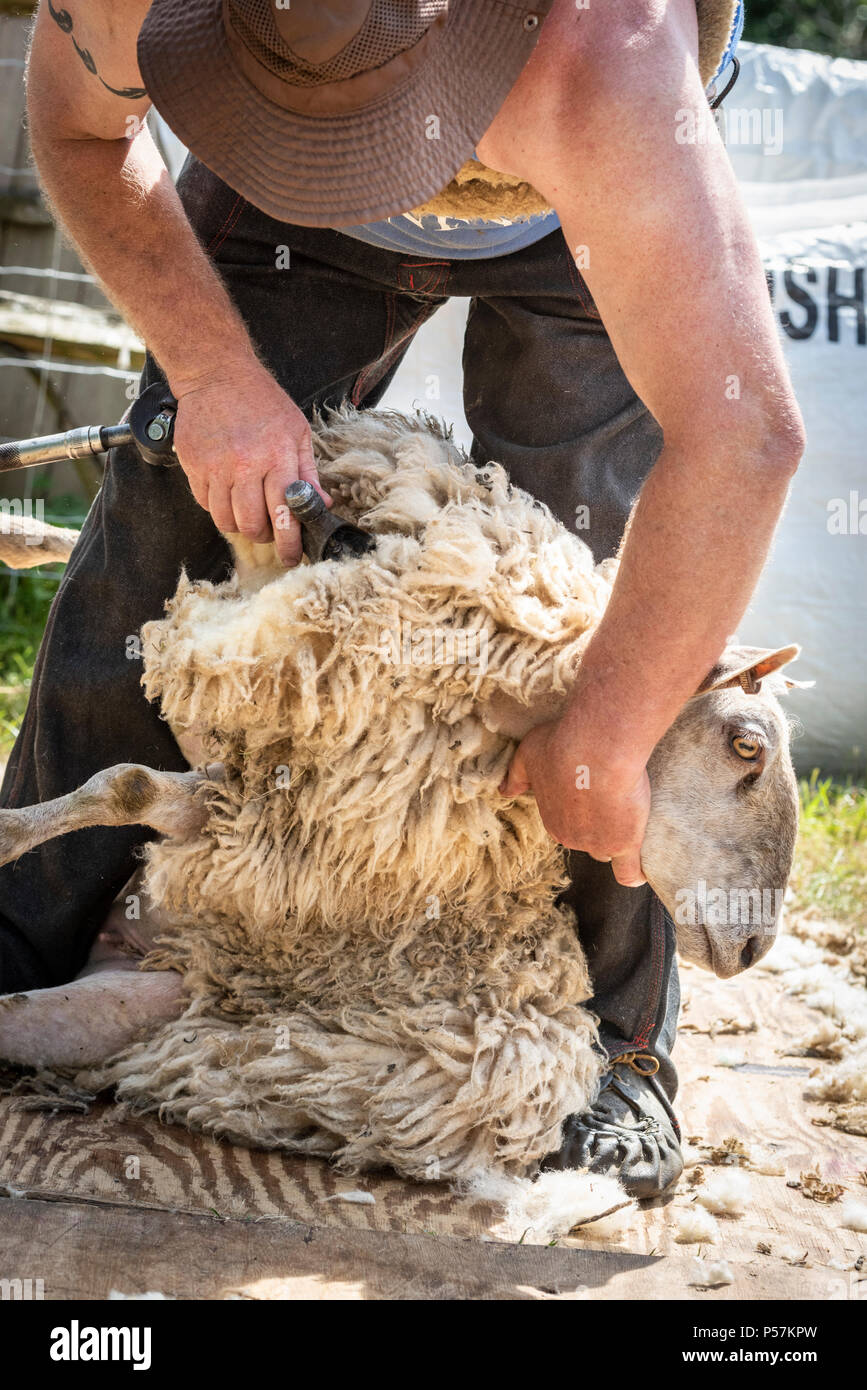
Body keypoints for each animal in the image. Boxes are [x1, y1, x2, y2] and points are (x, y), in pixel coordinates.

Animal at [0, 405, 805, 1189]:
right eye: (747, 745)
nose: (754, 947)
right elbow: (124, 772)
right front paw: (26, 535)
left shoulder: (251, 813)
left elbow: (127, 784)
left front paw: (7, 833)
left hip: (137, 1012)